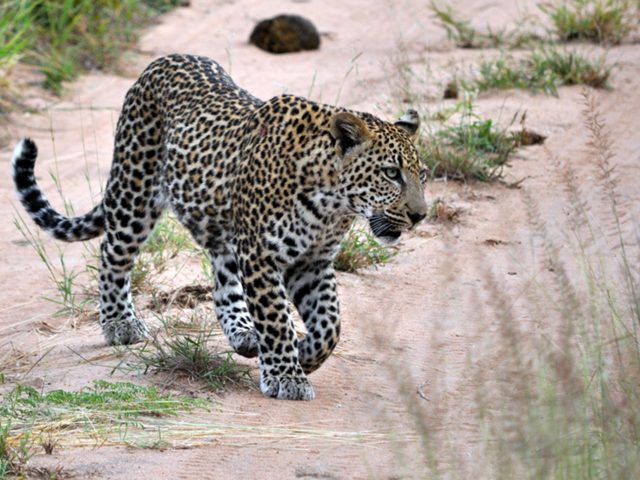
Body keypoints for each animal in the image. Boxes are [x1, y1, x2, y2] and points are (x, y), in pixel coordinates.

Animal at [12, 54, 428, 400]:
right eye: (391, 174)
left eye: (422, 175)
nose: (420, 215)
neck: (332, 202)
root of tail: (161, 61)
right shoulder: (261, 253)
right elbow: (276, 317)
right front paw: (286, 375)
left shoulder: (311, 262)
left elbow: (330, 324)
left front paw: (304, 353)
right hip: (134, 193)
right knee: (113, 254)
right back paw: (120, 323)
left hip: (224, 232)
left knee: (223, 281)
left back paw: (243, 331)